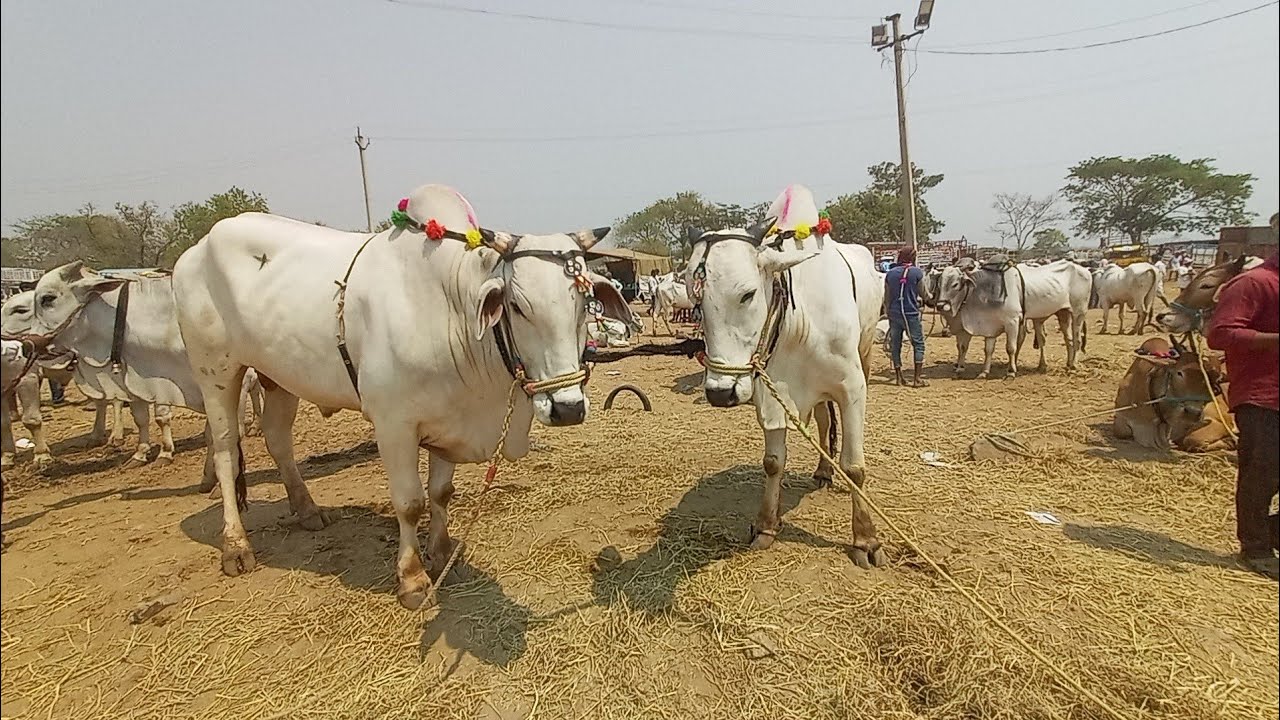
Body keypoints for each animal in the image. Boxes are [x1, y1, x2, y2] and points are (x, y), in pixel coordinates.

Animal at [171, 184, 635, 609]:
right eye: (518, 306)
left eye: (585, 303)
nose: (567, 408)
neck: (450, 311)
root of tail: (198, 247)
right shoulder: (394, 425)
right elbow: (410, 502)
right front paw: (412, 578)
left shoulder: (450, 419)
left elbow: (441, 492)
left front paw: (443, 553)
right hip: (215, 371)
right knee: (226, 451)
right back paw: (236, 546)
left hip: (279, 377)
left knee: (278, 439)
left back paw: (307, 510)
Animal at [689, 184, 886, 568]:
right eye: (696, 302)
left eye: (748, 294)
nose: (720, 392)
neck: (799, 322)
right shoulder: (771, 393)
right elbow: (772, 463)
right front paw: (766, 525)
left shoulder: (852, 389)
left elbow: (855, 466)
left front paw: (865, 539)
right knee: (824, 421)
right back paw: (823, 470)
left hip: (866, 354)